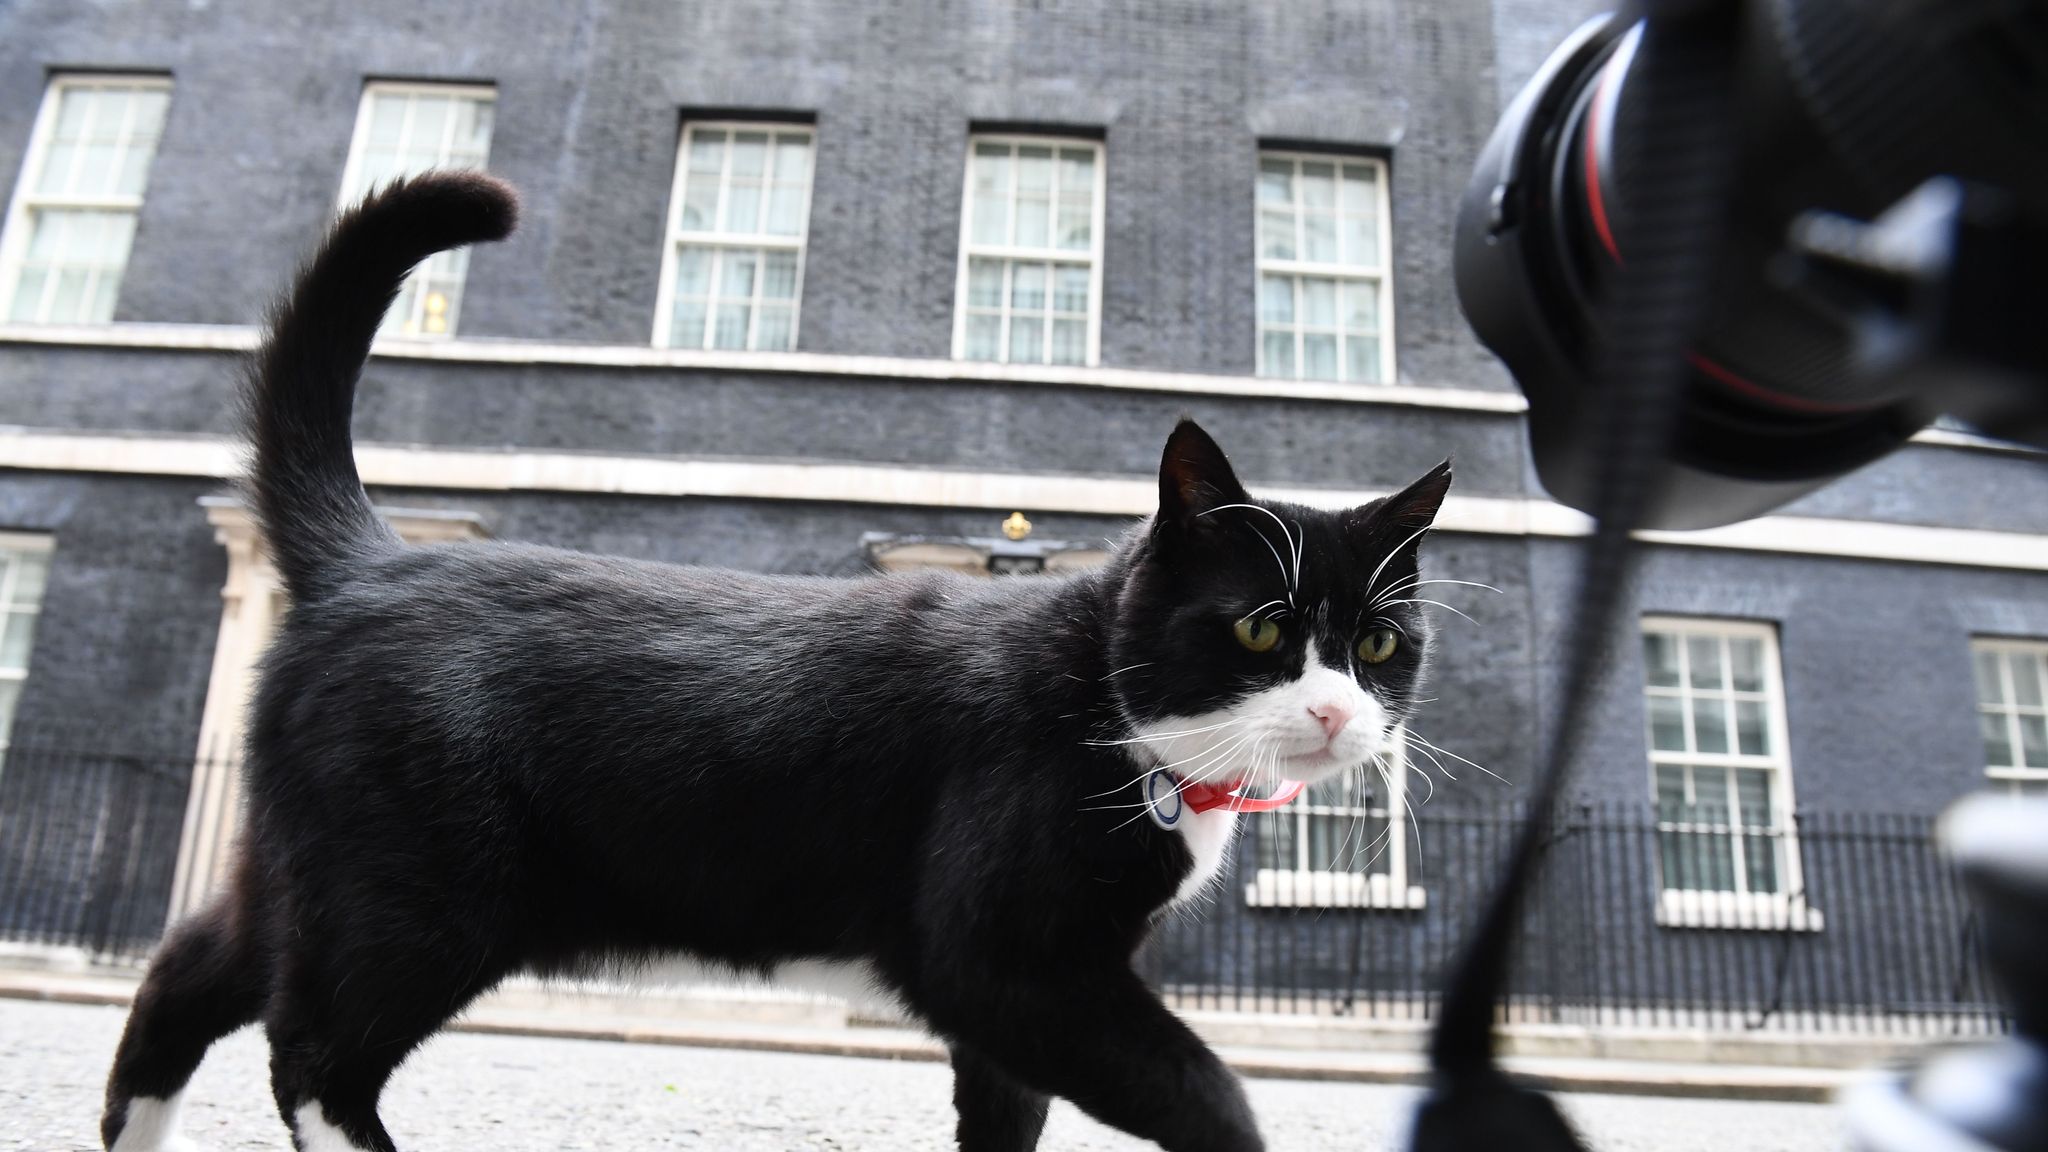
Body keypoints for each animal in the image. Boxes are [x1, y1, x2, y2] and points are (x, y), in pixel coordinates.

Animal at [92, 170, 1441, 1147]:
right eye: (1261, 627)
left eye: (1377, 642)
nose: (1336, 715)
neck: (1111, 716)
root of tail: (371, 559)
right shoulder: (1003, 960)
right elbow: (1208, 1094)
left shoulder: (1022, 1009)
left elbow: (1004, 1122)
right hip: (419, 895)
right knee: (313, 1055)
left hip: (317, 866)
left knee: (187, 977)